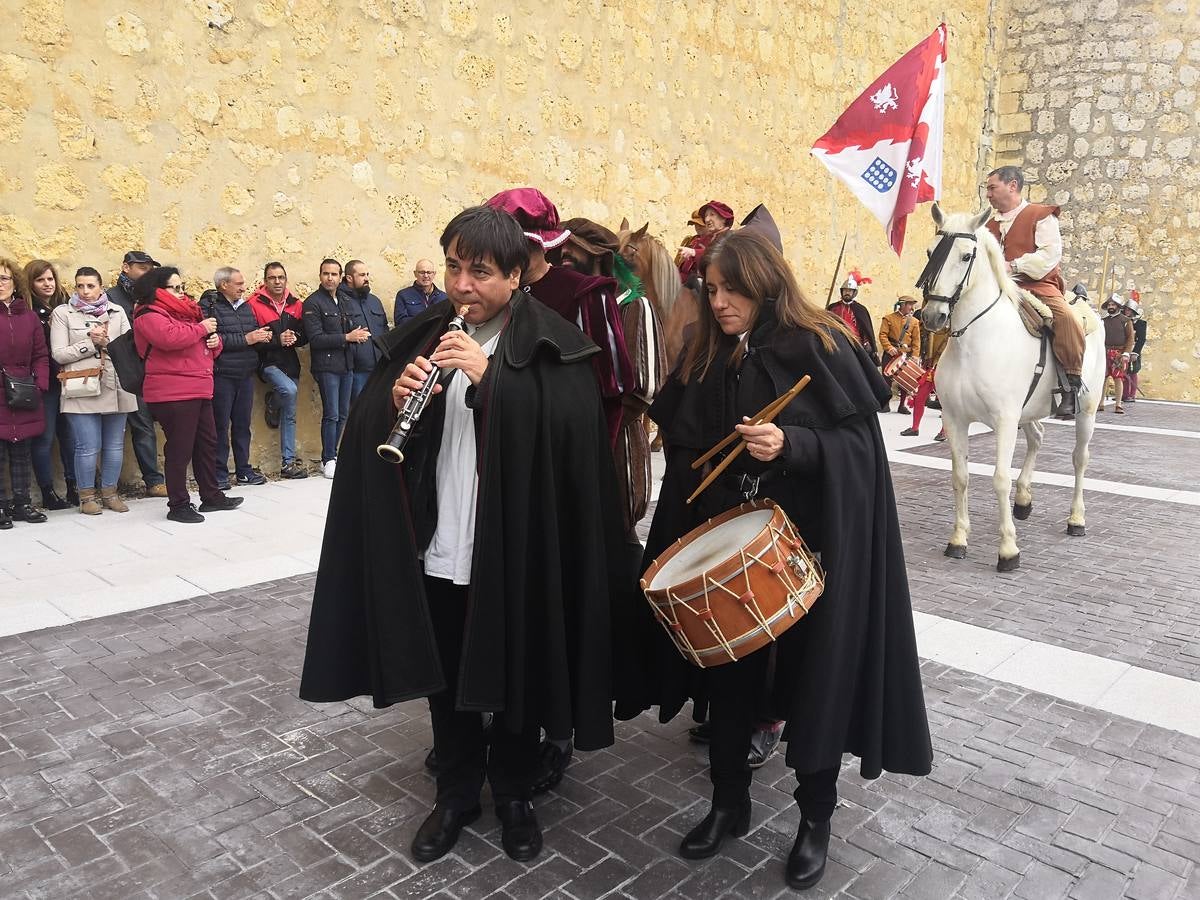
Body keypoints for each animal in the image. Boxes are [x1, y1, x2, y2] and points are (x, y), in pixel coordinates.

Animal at [916, 205, 1104, 571]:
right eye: (930, 252)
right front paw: (958, 539)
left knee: (1079, 458)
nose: (932, 316)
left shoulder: (1004, 420)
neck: (974, 340)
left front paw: (1008, 549)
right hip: (1029, 412)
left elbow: (1000, 478)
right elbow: (960, 476)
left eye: (966, 255)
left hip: (1086, 411)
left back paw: (1076, 519)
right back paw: (1024, 500)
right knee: (1037, 438)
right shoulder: (955, 419)